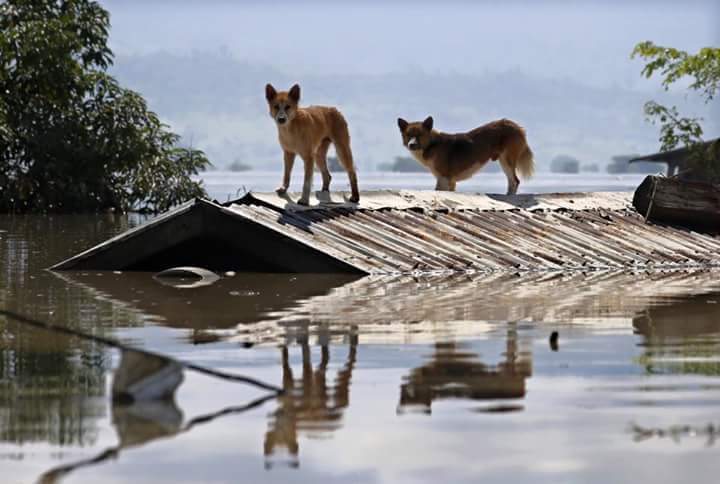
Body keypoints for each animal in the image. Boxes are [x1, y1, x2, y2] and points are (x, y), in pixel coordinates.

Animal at [400, 116, 536, 194]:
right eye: (408, 135)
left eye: (420, 135)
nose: (411, 145)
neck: (432, 144)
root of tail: (516, 126)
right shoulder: (450, 182)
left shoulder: (443, 179)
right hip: (503, 160)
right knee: (512, 181)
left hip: (506, 159)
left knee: (515, 181)